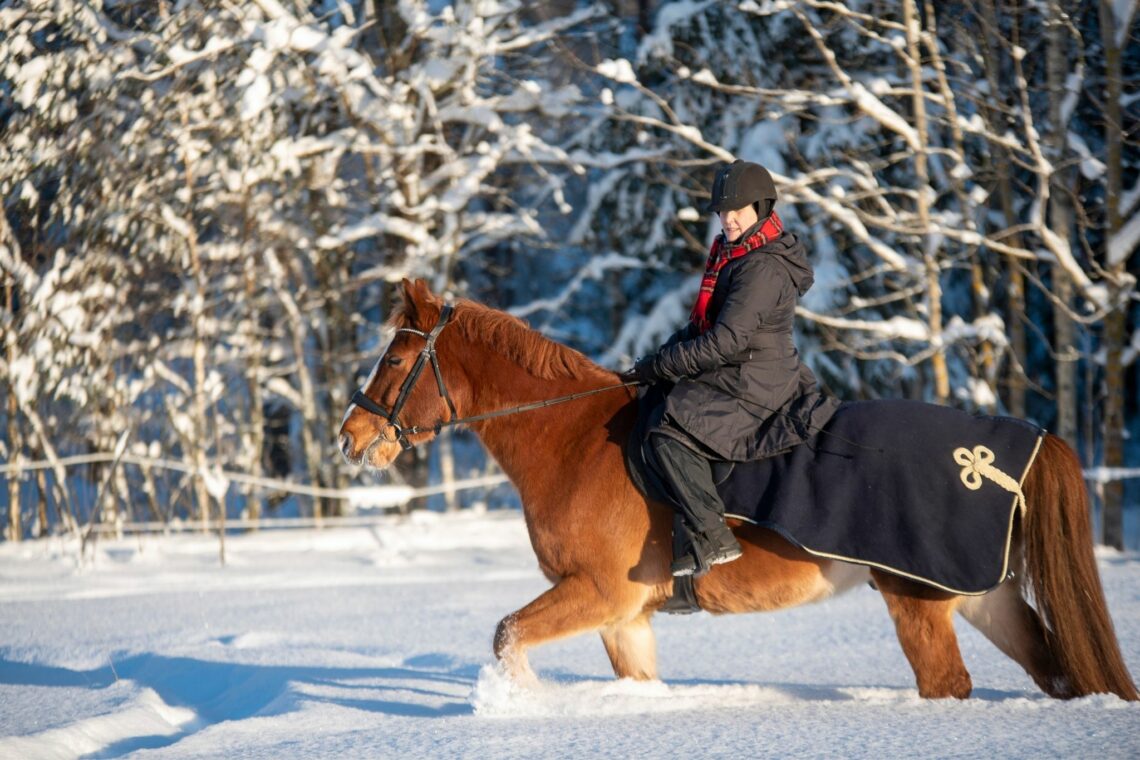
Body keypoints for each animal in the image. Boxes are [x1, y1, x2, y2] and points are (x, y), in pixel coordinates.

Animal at [338, 278, 1138, 701]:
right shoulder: (624, 616)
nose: (352, 437)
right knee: (1051, 666)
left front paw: (519, 703)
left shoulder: (598, 591)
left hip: (918, 601)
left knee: (950, 683)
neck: (571, 439)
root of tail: (1008, 448)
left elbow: (507, 633)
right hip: (977, 594)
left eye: (395, 359)